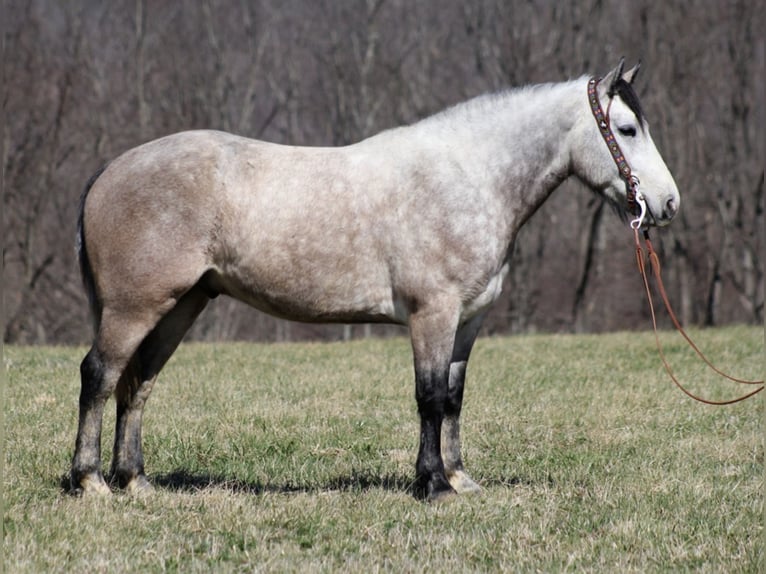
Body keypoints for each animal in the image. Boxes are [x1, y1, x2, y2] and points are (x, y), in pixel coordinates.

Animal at [72, 60, 680, 504]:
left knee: (138, 383)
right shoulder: (432, 314)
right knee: (101, 375)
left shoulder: (468, 320)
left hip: (181, 304)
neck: (469, 178)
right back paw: (91, 481)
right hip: (135, 307)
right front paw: (432, 485)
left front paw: (459, 478)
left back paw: (136, 481)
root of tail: (109, 172)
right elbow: (428, 397)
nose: (668, 203)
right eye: (626, 129)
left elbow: (453, 398)